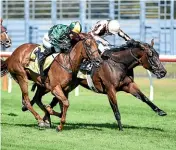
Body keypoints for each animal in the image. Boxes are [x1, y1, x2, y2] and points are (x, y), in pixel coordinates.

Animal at [23, 39, 166, 131]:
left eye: (158, 54)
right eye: (150, 55)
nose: (163, 72)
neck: (118, 64)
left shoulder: (128, 85)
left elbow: (144, 98)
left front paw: (161, 111)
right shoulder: (110, 89)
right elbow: (116, 109)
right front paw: (121, 128)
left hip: (68, 86)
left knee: (52, 100)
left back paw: (46, 118)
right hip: (52, 85)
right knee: (41, 98)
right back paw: (42, 117)